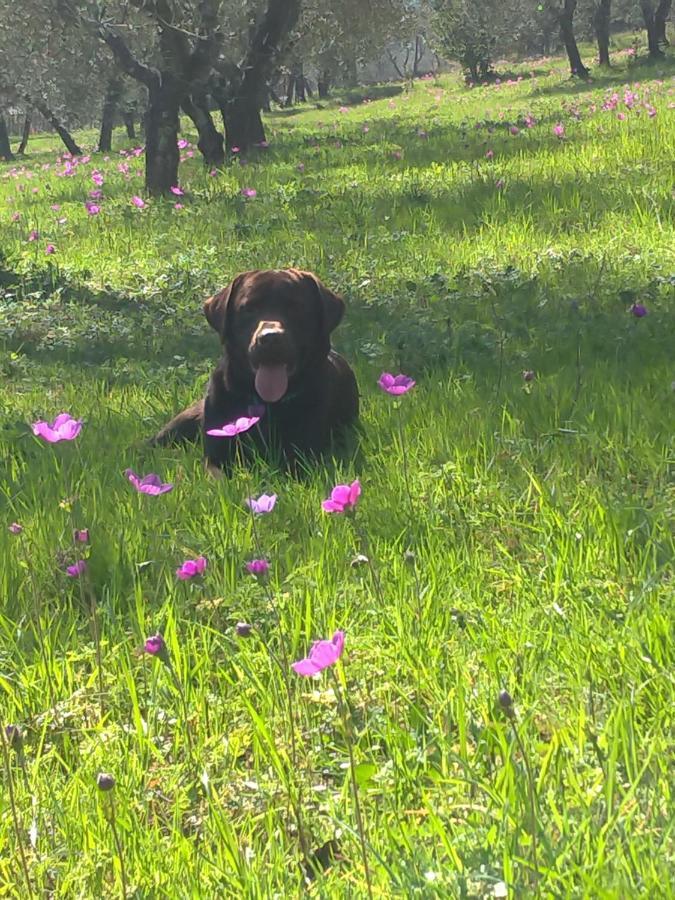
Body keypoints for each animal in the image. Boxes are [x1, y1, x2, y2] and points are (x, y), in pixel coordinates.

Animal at [149, 268, 360, 472]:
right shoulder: (215, 457)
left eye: (295, 307)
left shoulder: (302, 456)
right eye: (249, 308)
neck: (265, 403)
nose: (270, 337)